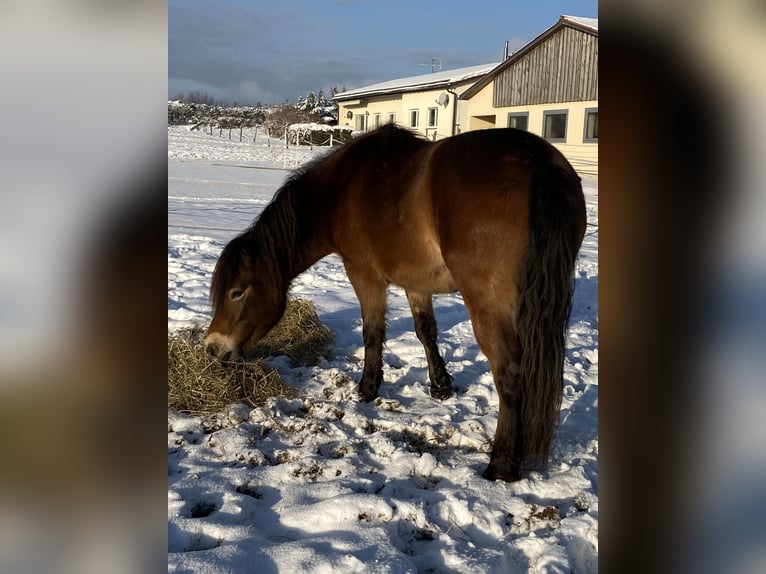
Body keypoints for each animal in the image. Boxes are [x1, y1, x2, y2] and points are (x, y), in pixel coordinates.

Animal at [204, 124, 588, 484]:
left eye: (237, 291)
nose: (213, 347)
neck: (342, 188)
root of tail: (535, 162)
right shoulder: (416, 282)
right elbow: (425, 331)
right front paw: (440, 386)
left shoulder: (365, 275)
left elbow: (373, 332)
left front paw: (367, 387)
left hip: (488, 303)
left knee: (509, 372)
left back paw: (501, 464)